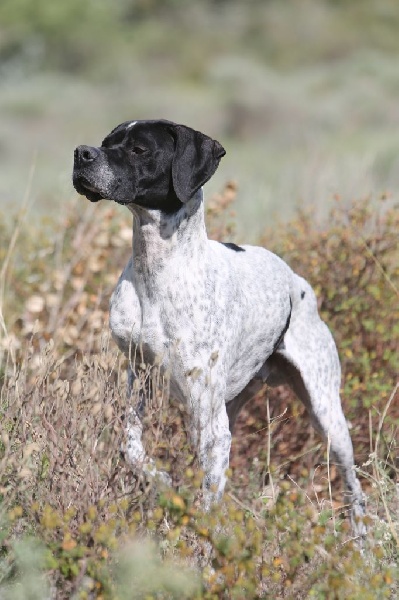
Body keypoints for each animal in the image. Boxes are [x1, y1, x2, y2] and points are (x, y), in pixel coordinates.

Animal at [73, 117, 368, 536]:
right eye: (106, 141)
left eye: (138, 149)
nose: (82, 154)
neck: (159, 272)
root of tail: (297, 281)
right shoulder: (140, 375)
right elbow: (131, 448)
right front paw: (162, 483)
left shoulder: (210, 423)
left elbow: (206, 506)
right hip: (227, 406)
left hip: (327, 414)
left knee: (353, 486)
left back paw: (360, 538)